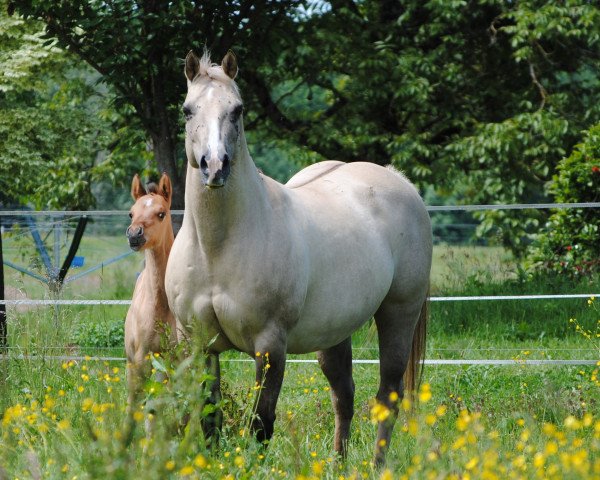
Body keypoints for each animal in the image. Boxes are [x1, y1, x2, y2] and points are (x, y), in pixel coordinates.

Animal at [165, 49, 432, 464]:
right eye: (187, 110)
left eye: (237, 110)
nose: (215, 166)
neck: (216, 249)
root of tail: (399, 180)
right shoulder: (198, 342)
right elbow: (209, 418)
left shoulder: (270, 345)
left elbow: (261, 423)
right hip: (335, 330)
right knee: (343, 396)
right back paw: (338, 465)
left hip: (399, 313)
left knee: (387, 397)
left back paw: (376, 467)